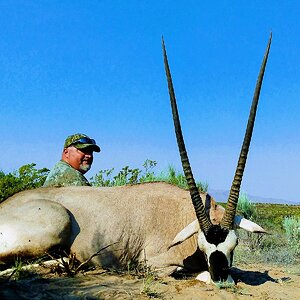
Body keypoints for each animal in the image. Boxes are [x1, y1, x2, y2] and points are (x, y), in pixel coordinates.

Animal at [0, 35, 270, 284]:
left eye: (235, 244)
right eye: (202, 246)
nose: (221, 277)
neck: (182, 211)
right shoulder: (156, 264)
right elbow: (195, 273)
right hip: (57, 220)